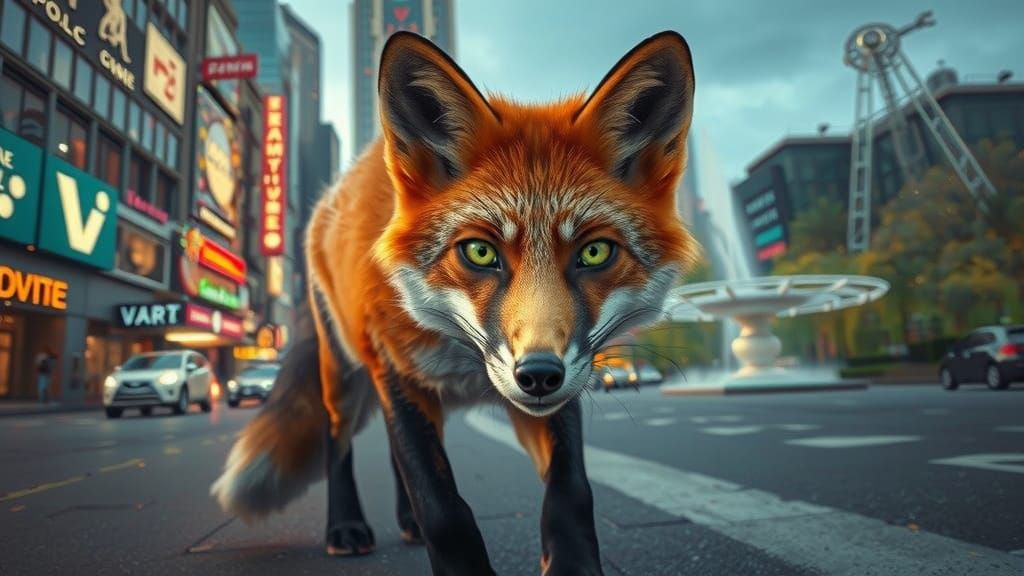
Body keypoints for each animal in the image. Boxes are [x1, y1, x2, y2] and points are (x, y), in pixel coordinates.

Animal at [211, 30, 696, 575]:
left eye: (594, 252)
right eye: (480, 252)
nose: (538, 375)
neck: (463, 357)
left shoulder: (562, 377)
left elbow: (571, 491)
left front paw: (572, 565)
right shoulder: (394, 368)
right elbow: (442, 508)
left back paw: (404, 522)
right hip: (343, 374)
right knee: (339, 443)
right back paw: (346, 526)